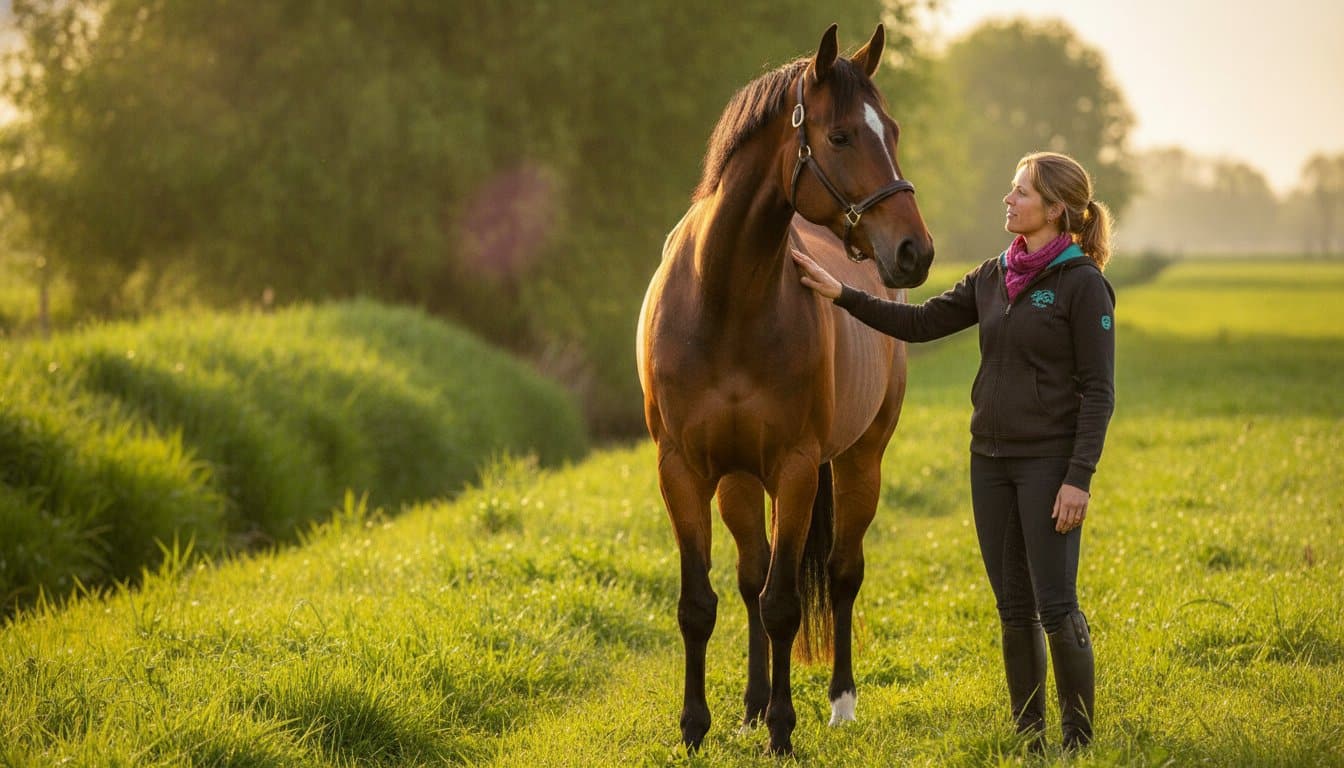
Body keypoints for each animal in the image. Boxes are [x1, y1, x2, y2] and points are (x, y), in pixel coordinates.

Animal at [636, 23, 935, 755]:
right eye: (841, 136)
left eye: (892, 130)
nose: (914, 251)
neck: (724, 302)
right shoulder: (683, 471)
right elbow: (702, 604)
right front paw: (696, 729)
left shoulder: (797, 469)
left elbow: (784, 605)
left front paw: (781, 731)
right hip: (741, 482)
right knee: (752, 575)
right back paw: (747, 706)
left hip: (859, 462)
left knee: (841, 573)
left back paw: (839, 703)